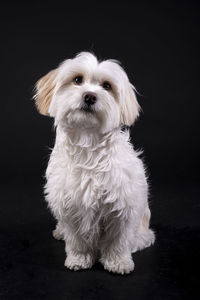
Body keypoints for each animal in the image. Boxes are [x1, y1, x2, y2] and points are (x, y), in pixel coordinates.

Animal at [34, 52, 155, 274]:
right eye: (77, 80)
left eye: (107, 86)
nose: (90, 96)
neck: (87, 142)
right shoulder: (70, 204)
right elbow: (77, 239)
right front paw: (79, 258)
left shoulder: (123, 207)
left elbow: (118, 240)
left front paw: (118, 261)